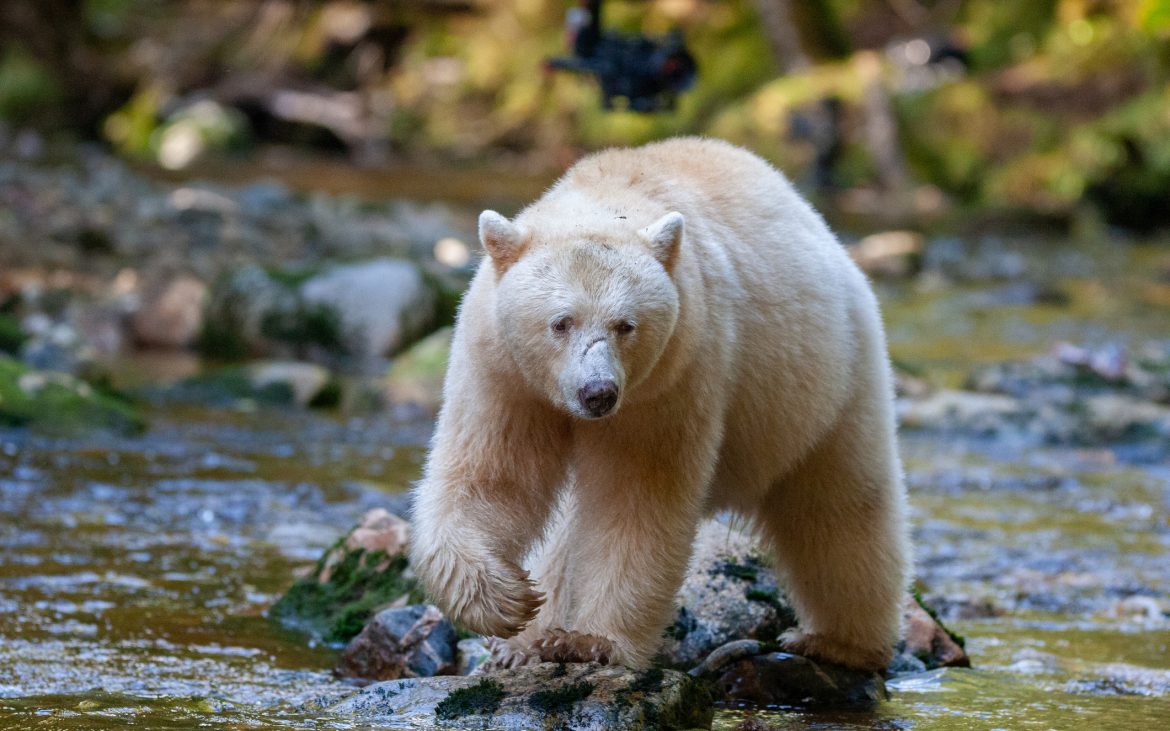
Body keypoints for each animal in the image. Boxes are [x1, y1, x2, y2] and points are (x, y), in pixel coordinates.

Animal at [411, 136, 912, 673]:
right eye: (560, 322)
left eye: (625, 324)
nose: (598, 392)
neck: (608, 193)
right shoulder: (504, 373)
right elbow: (493, 474)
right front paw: (508, 605)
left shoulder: (671, 380)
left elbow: (637, 497)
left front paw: (593, 641)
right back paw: (528, 644)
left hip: (828, 384)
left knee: (841, 506)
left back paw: (840, 642)